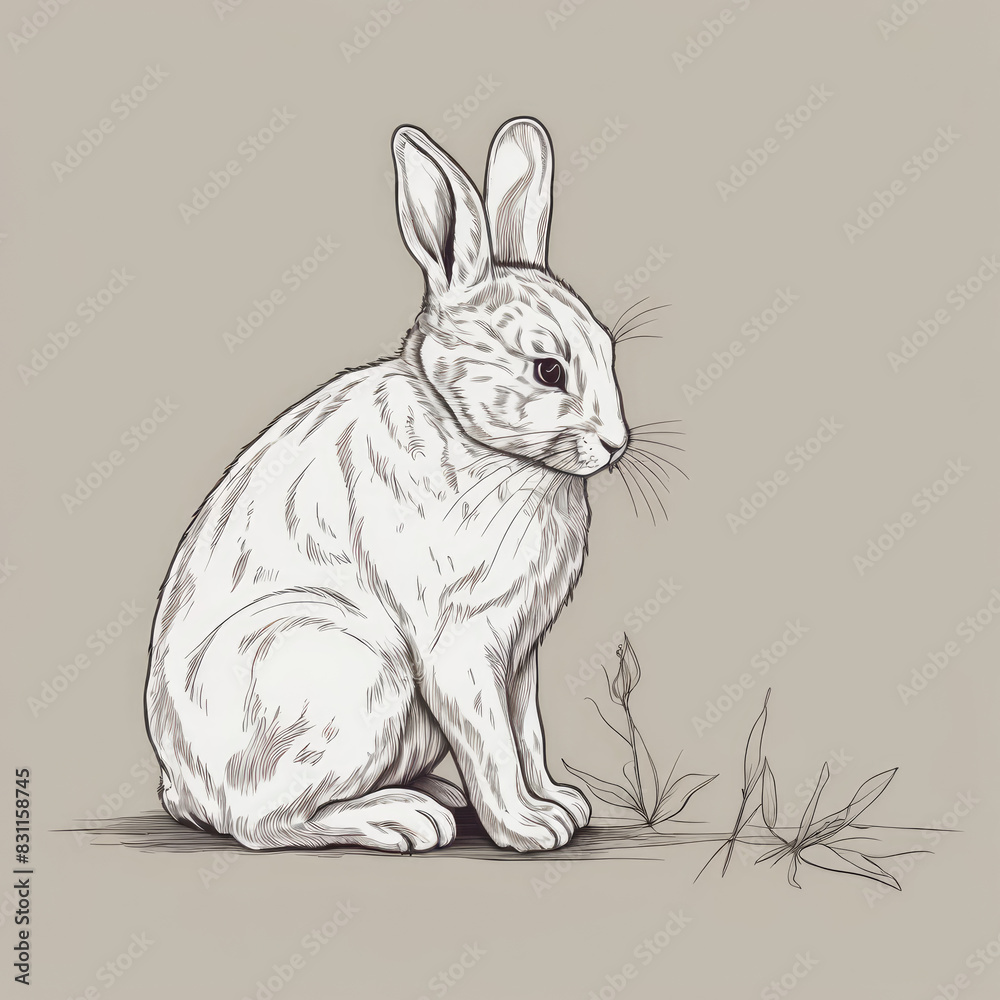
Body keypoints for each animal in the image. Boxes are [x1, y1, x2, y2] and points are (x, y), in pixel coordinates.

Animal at [144, 117, 630, 853]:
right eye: (547, 369)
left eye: (608, 347)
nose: (615, 444)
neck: (467, 432)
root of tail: (187, 787)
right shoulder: (459, 644)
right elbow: (493, 742)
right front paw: (528, 828)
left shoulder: (520, 655)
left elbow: (527, 733)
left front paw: (560, 804)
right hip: (349, 669)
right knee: (267, 824)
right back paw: (406, 818)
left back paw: (431, 794)